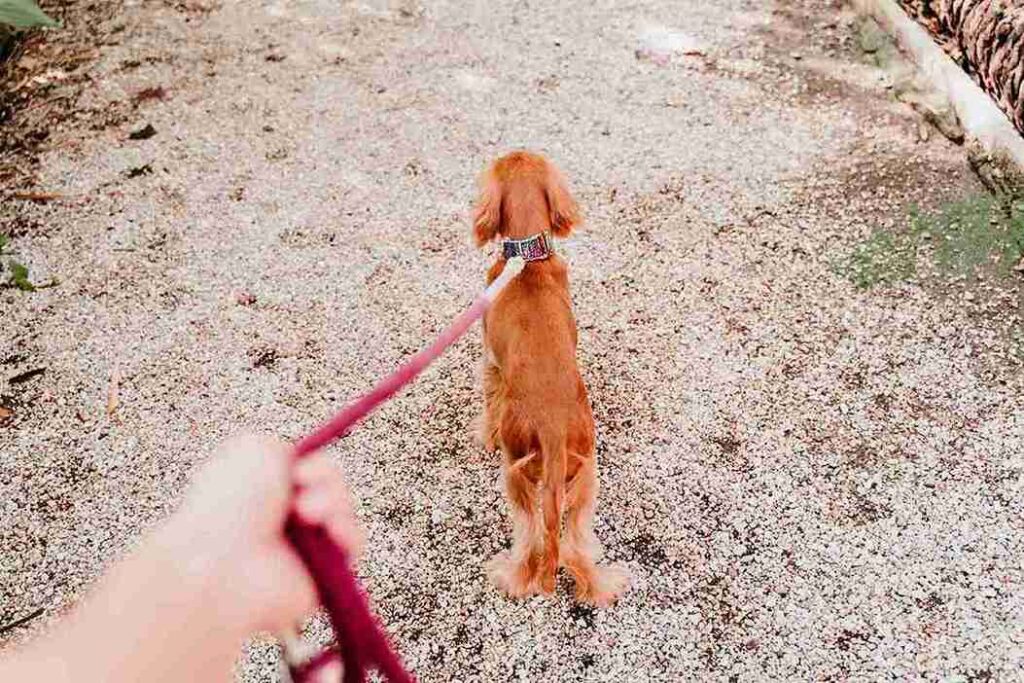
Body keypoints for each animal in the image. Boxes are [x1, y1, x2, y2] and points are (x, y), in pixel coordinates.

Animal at [473, 152, 630, 606]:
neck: (529, 261)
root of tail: (553, 427)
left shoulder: (490, 363)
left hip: (516, 474)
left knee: (531, 543)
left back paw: (510, 577)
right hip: (587, 474)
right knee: (574, 544)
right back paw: (601, 584)